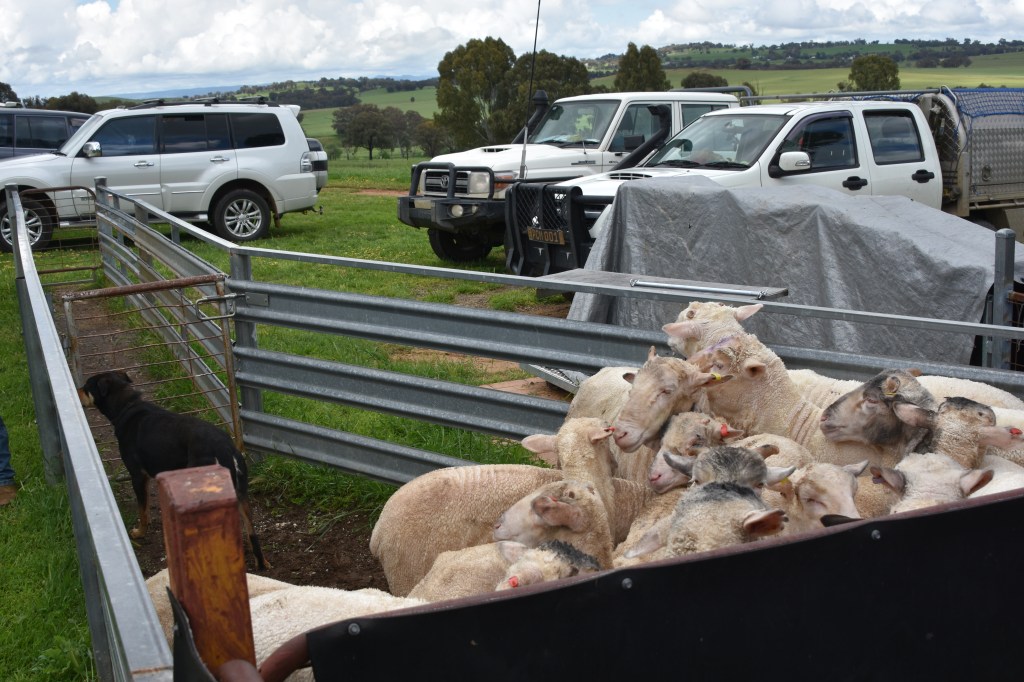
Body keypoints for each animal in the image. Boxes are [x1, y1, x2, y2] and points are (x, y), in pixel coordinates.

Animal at [78, 370, 268, 570]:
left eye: (86, 386)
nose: (76, 390)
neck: (126, 405)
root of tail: (223, 447)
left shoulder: (137, 475)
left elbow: (142, 510)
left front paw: (139, 533)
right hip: (241, 492)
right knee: (252, 532)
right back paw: (262, 563)